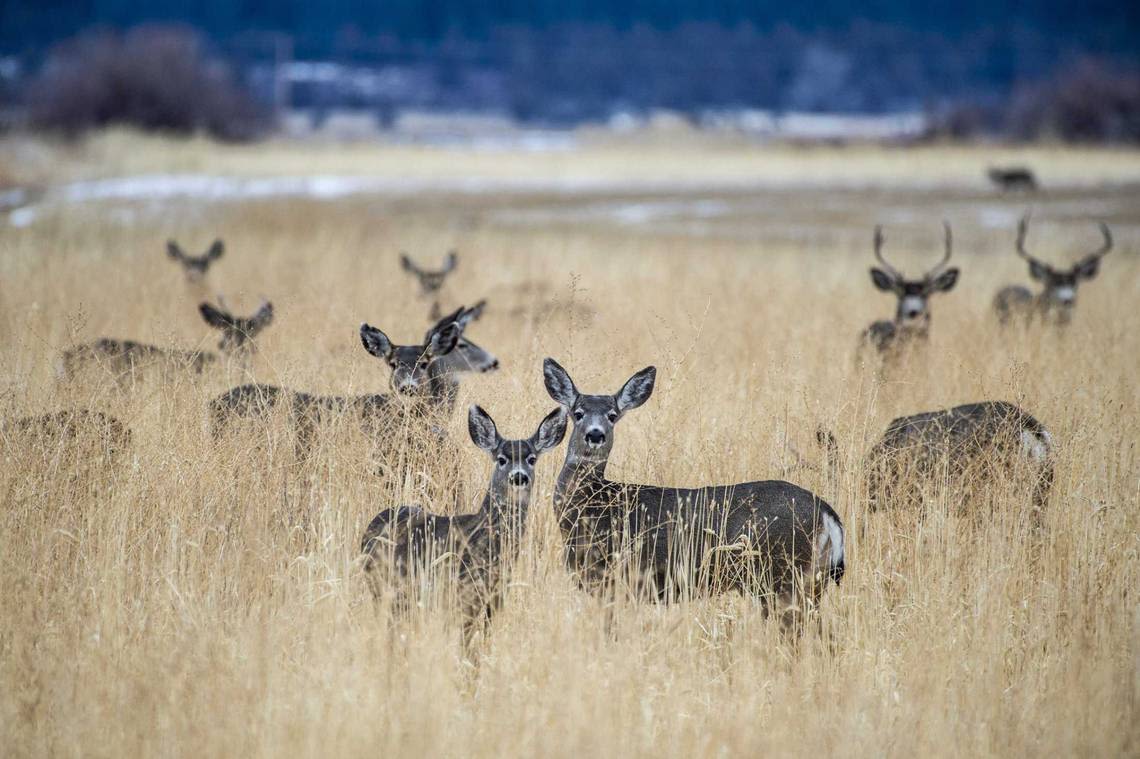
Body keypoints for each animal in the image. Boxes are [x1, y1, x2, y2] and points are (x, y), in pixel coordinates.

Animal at [542, 355, 848, 633]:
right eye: (578, 413)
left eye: (612, 416)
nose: (595, 435)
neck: (593, 506)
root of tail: (828, 514)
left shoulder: (616, 581)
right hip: (806, 582)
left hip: (785, 576)